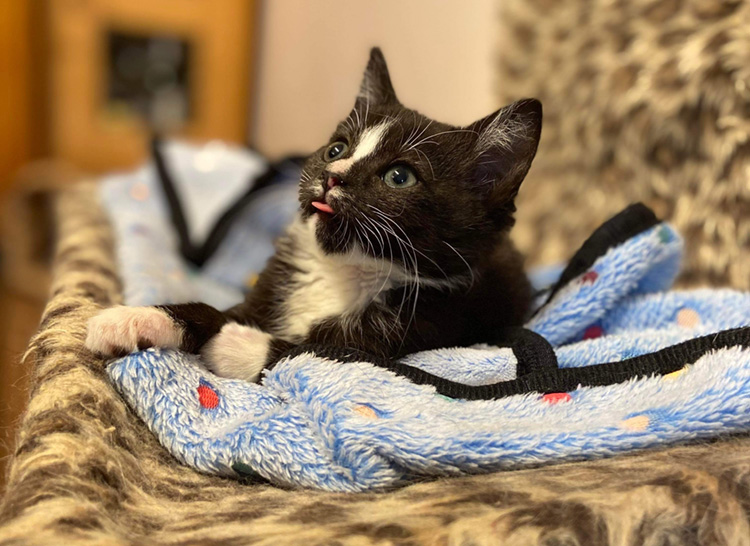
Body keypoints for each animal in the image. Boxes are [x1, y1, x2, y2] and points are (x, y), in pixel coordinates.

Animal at [86, 46, 540, 380]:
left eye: (399, 177)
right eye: (336, 149)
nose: (332, 176)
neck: (343, 271)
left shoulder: (422, 327)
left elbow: (311, 351)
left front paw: (234, 344)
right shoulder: (268, 294)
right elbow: (217, 312)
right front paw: (135, 319)